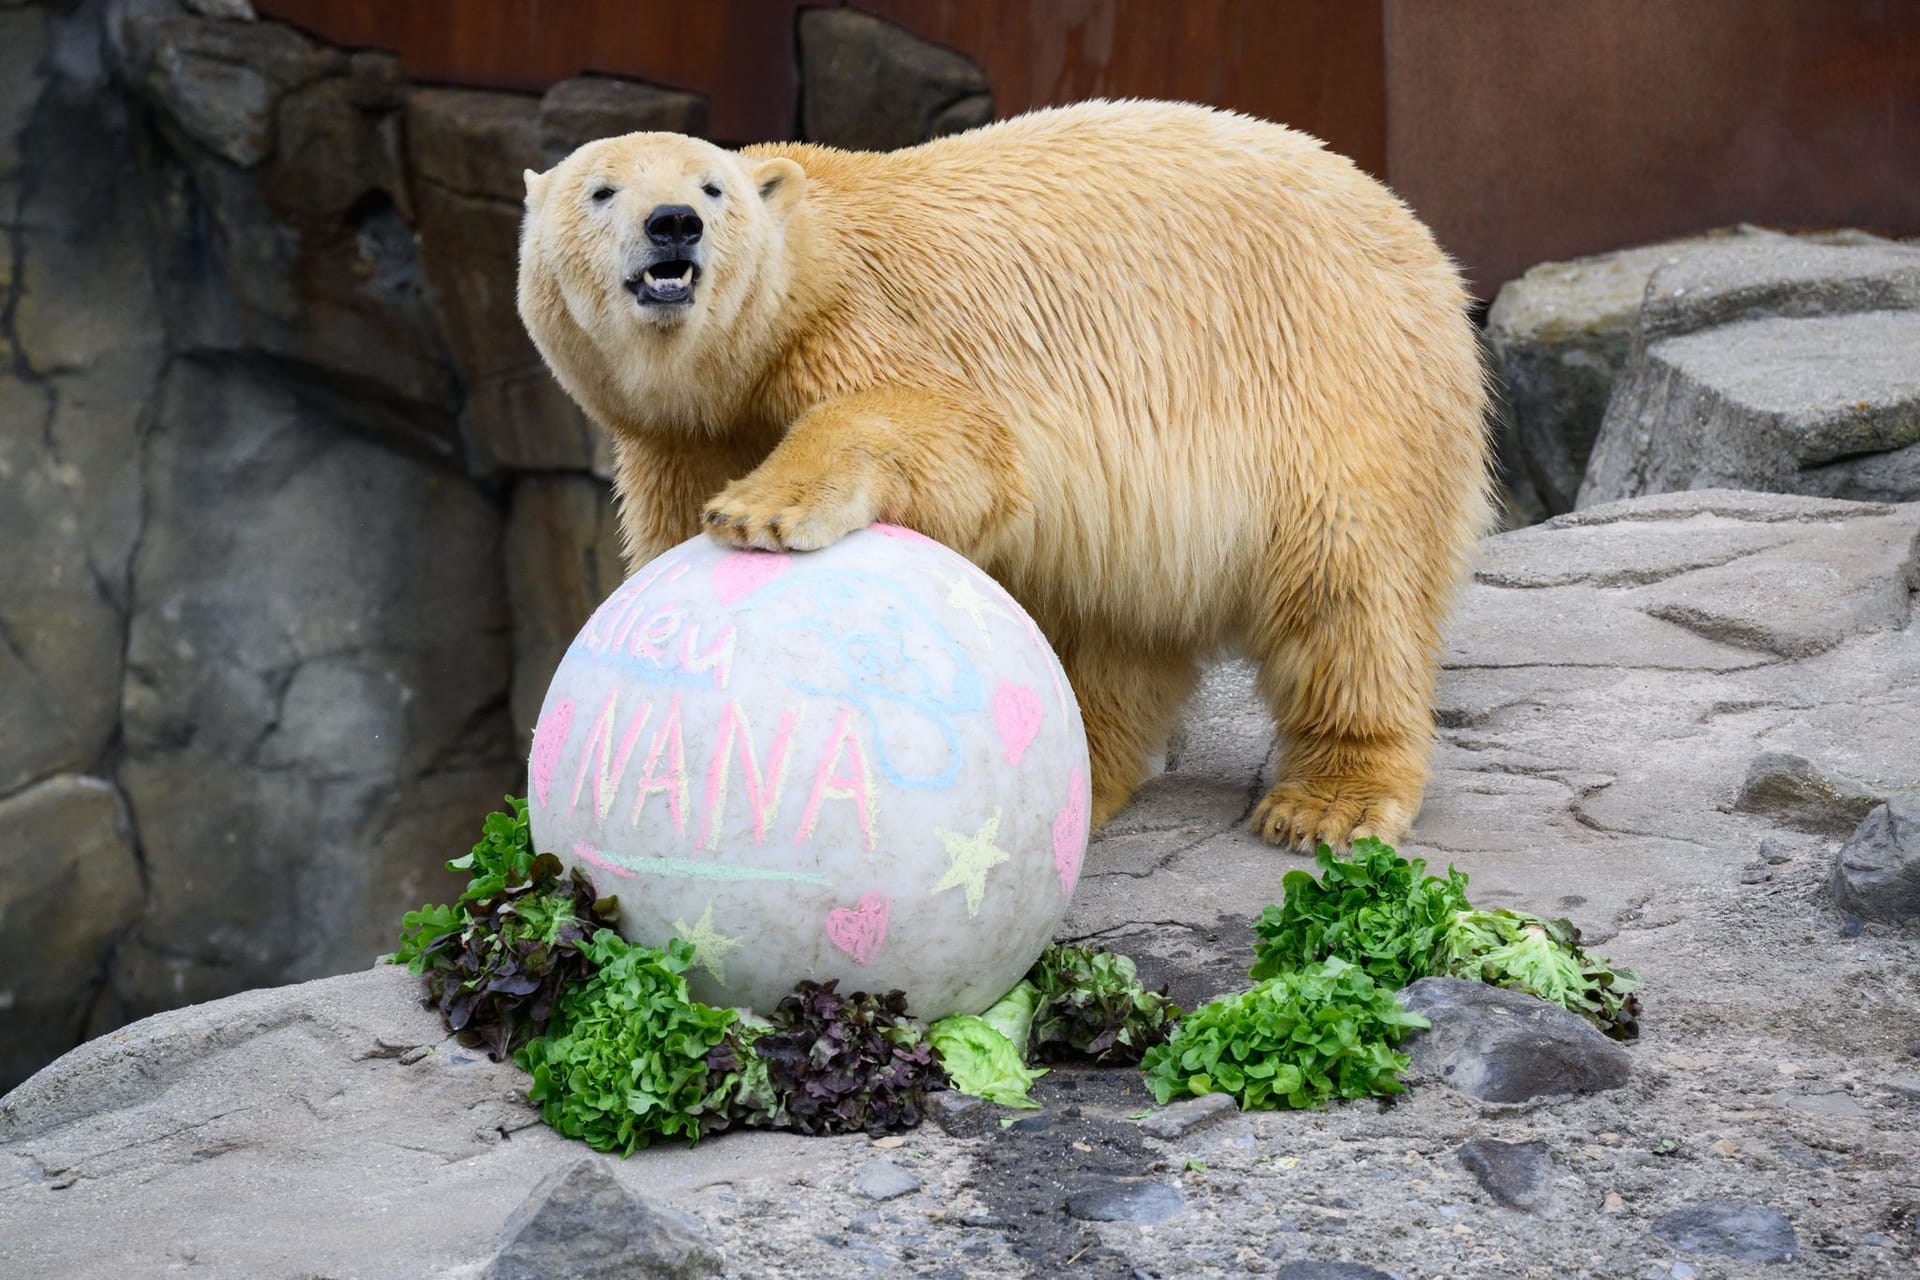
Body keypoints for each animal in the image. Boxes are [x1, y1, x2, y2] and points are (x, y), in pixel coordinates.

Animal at [518, 102, 1489, 852]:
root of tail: (1425, 247)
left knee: (1348, 583)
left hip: (1337, 376)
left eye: (711, 188)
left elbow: (954, 440)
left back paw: (1328, 803)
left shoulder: (864, 326)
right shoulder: (679, 434)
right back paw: (1084, 779)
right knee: (1106, 627)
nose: (672, 223)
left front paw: (764, 509)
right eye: (603, 189)